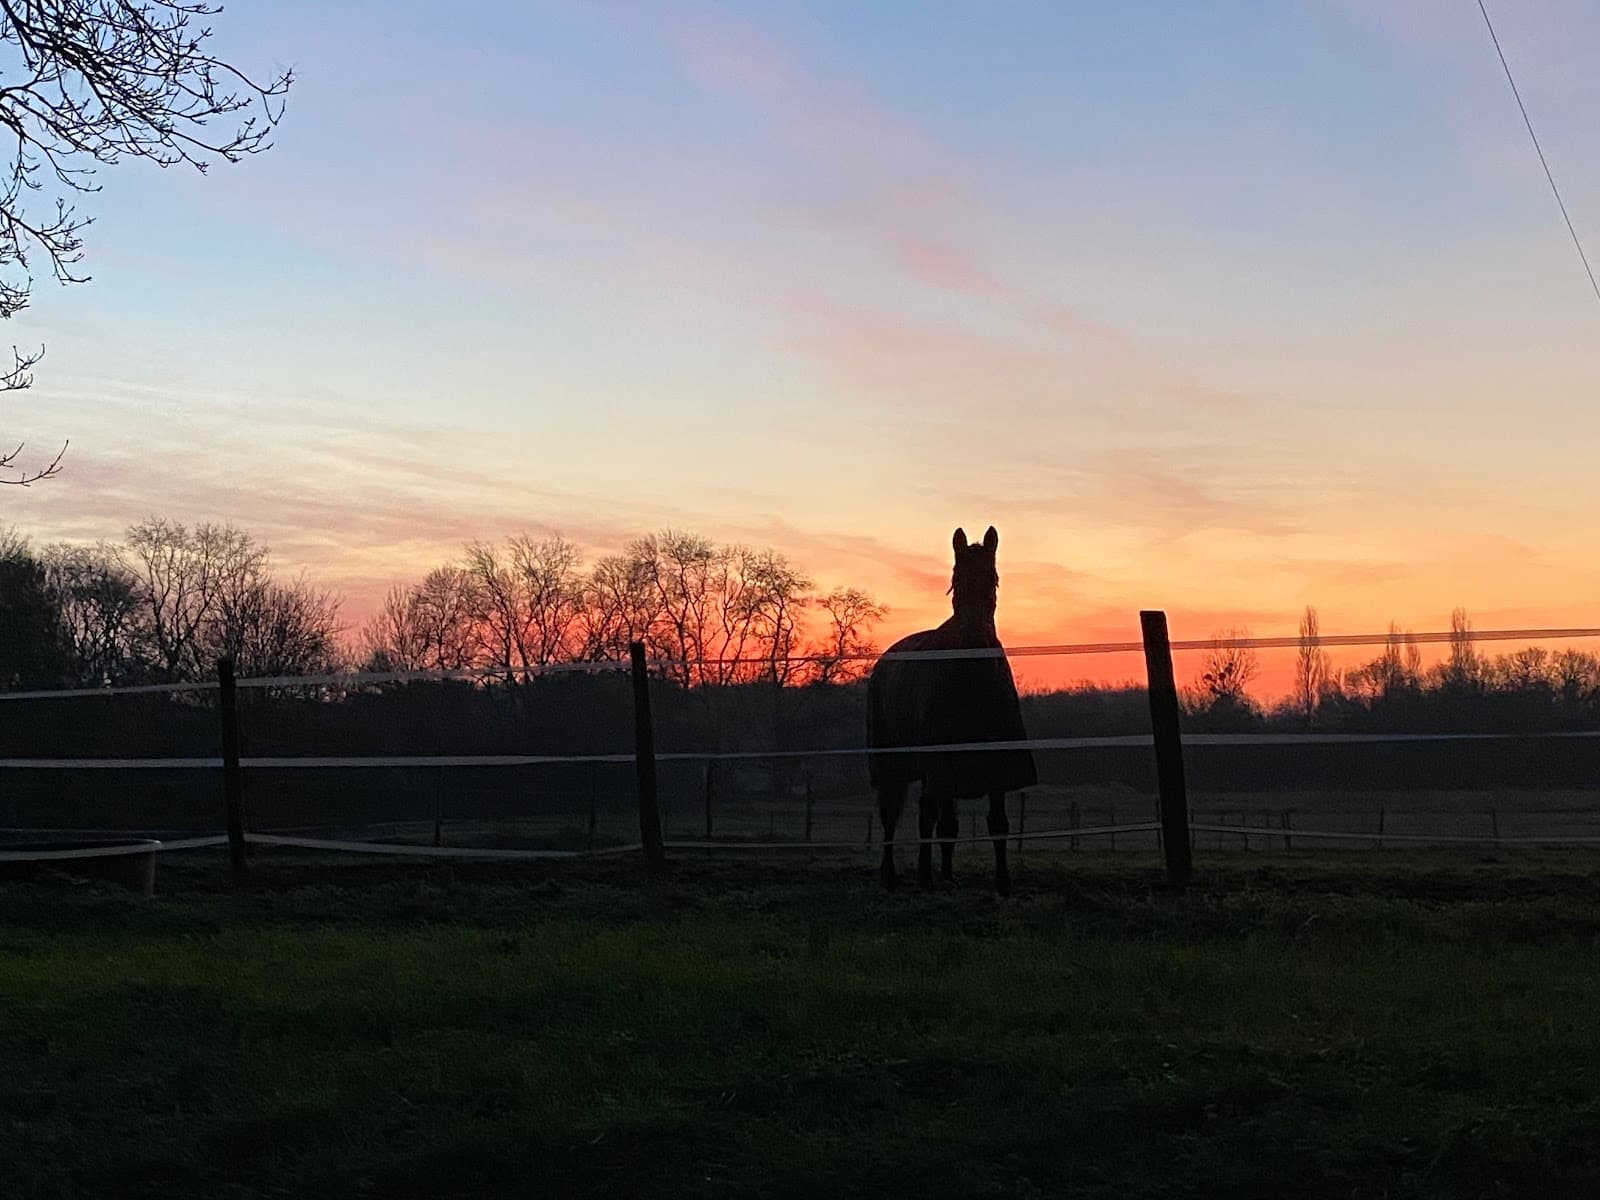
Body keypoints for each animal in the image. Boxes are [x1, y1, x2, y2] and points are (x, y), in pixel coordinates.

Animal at [866, 526, 1036, 895]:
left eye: (993, 578)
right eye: (956, 579)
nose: (975, 637)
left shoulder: (994, 768)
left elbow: (996, 823)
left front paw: (1003, 882)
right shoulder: (936, 766)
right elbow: (924, 819)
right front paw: (923, 877)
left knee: (946, 824)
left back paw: (945, 875)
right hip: (892, 765)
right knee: (892, 814)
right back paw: (891, 874)